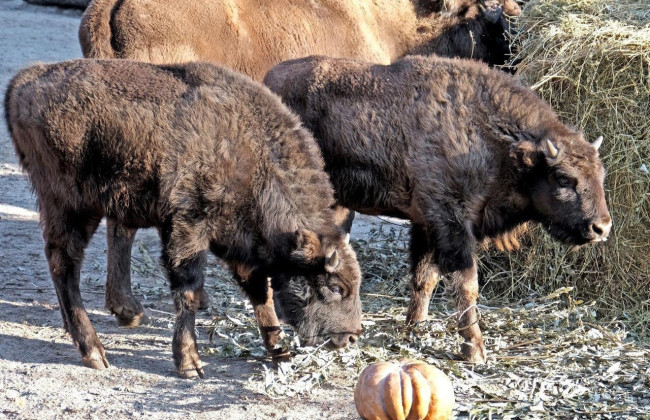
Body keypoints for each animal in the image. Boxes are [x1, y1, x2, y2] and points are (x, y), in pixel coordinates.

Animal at [2, 59, 362, 378]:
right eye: (335, 286)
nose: (350, 336)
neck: (250, 154)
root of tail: (22, 83)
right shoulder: (188, 228)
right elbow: (189, 290)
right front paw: (190, 364)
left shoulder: (240, 245)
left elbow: (262, 294)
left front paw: (280, 352)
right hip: (72, 207)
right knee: (64, 265)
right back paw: (94, 352)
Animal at [262, 55, 608, 364]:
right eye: (563, 178)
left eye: (601, 174)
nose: (601, 227)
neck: (488, 135)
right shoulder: (449, 221)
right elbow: (465, 284)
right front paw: (474, 350)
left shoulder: (425, 224)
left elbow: (424, 278)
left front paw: (414, 329)